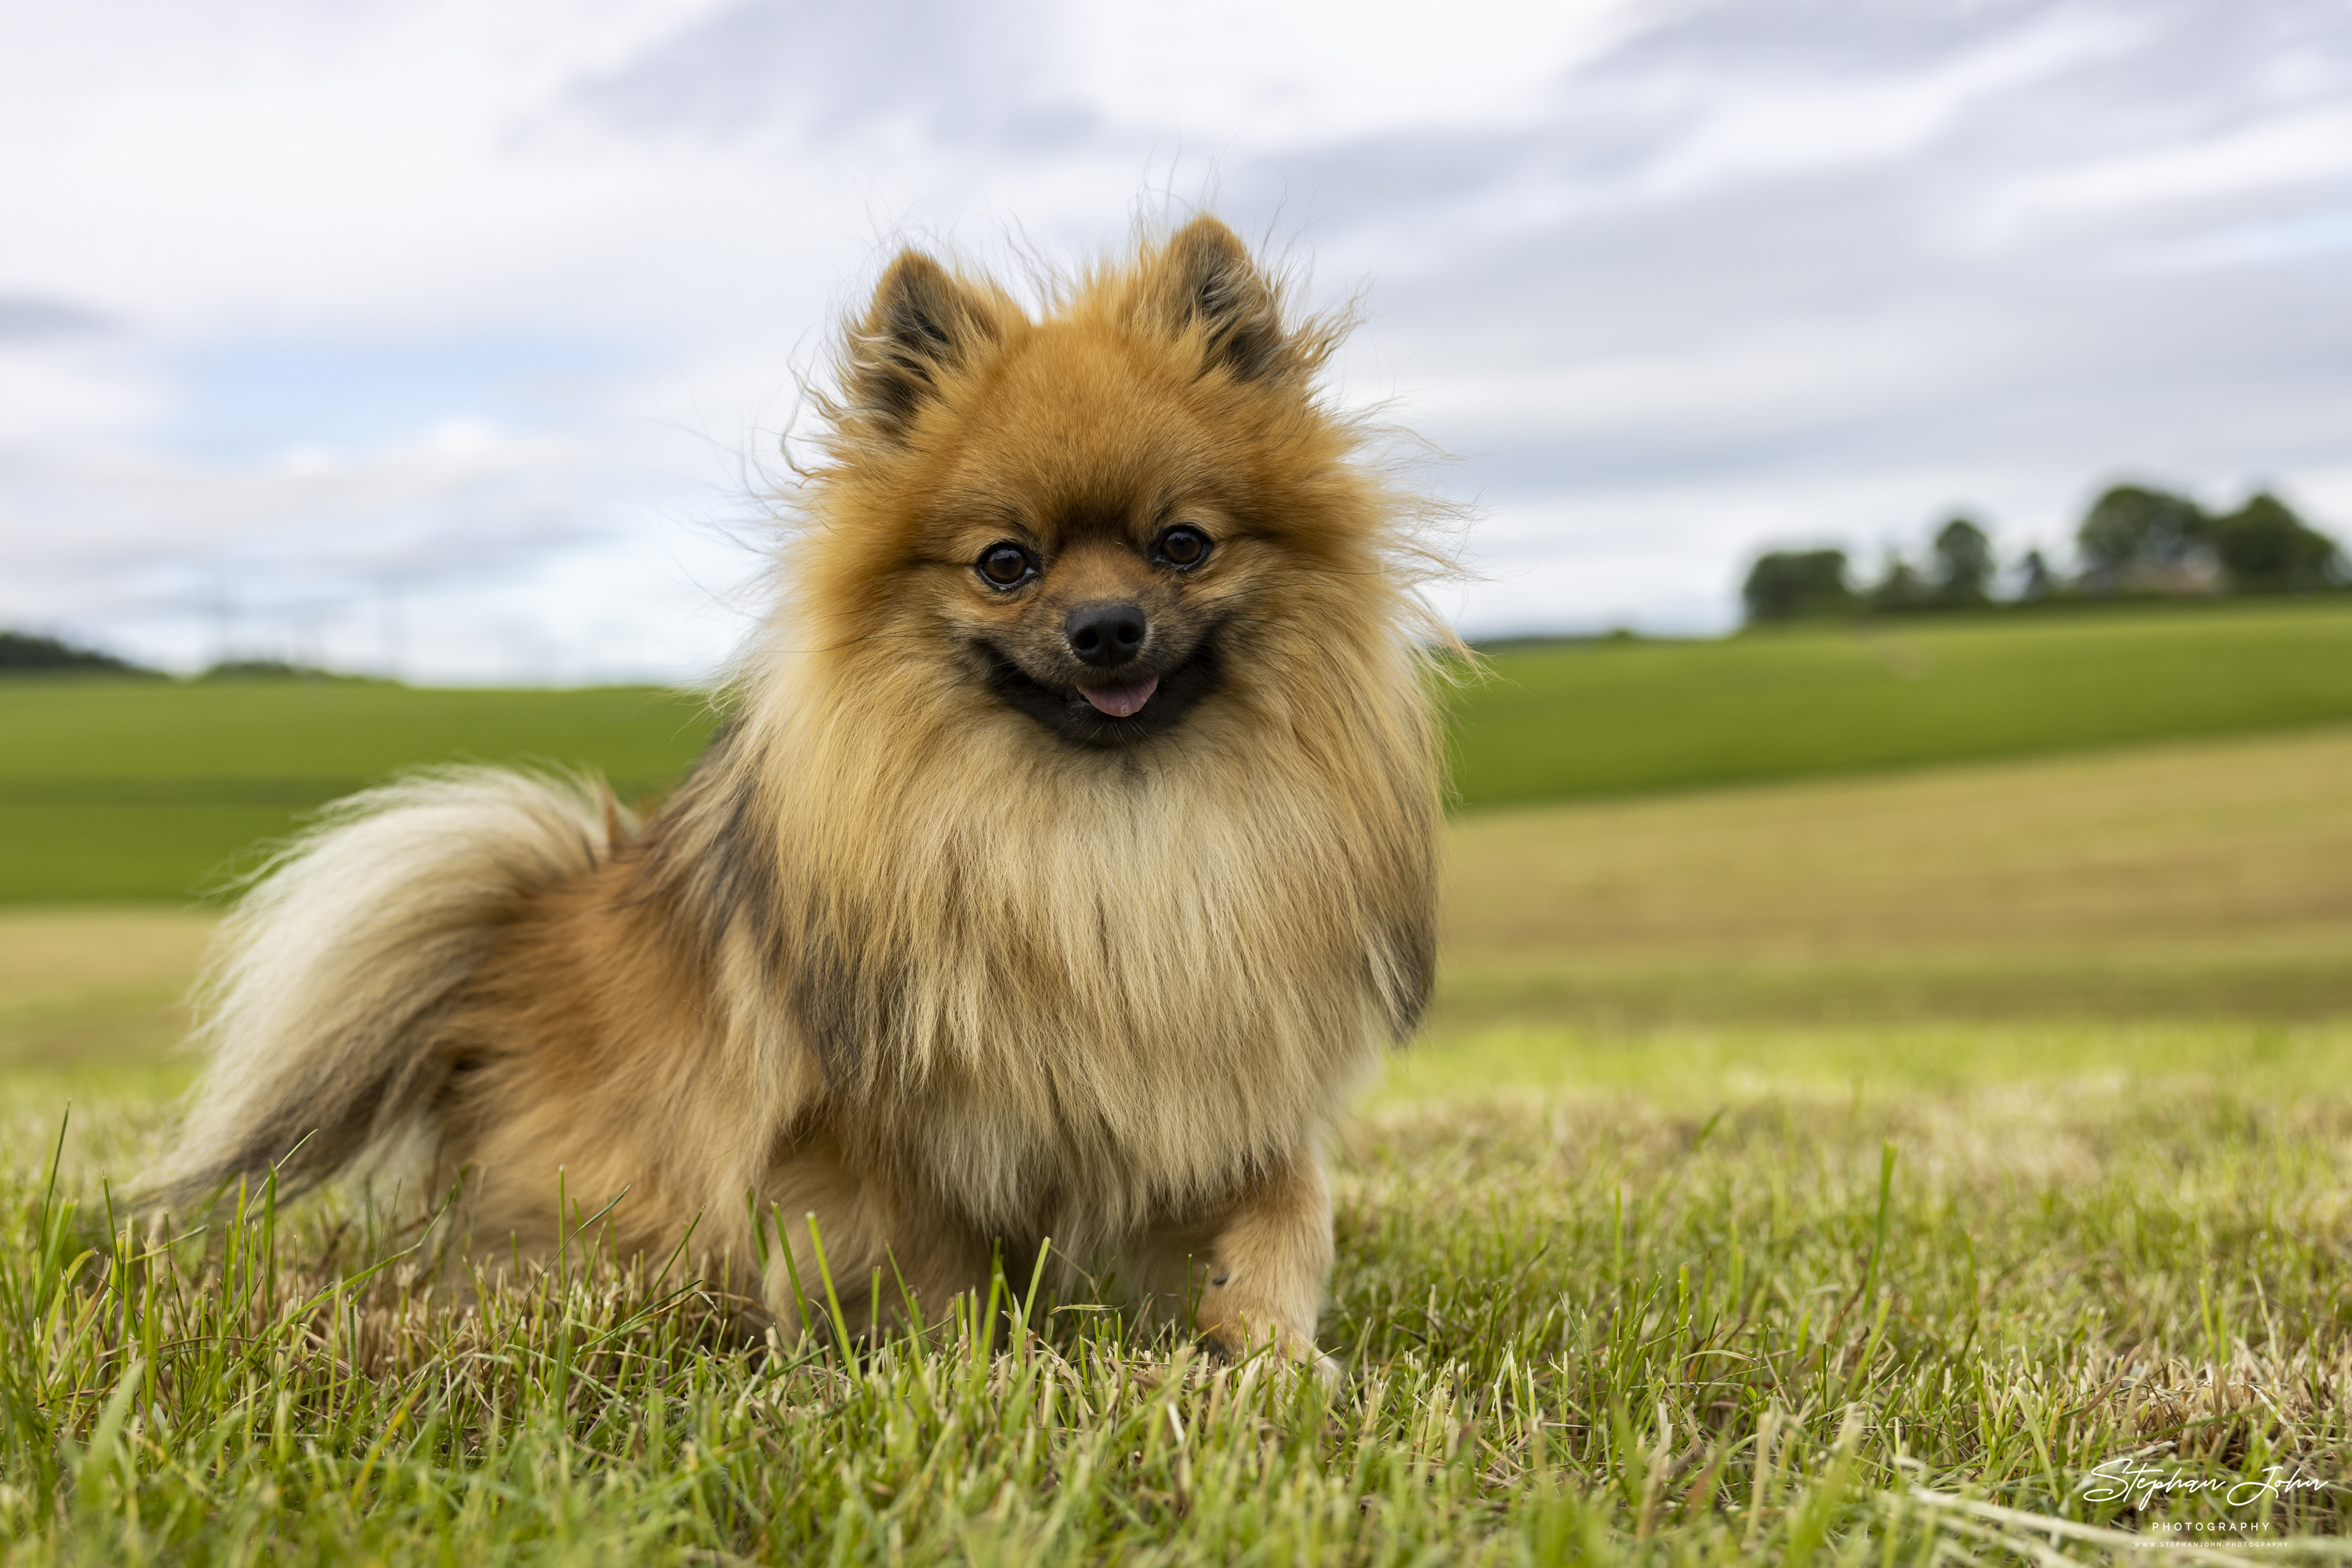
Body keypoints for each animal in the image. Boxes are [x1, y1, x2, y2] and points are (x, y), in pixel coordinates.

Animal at [151, 215, 1449, 1363]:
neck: (1102, 834)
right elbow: (933, 1272)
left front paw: (1270, 1352)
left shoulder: (1223, 1075)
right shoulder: (870, 1141)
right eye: (1006, 564)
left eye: (1183, 545)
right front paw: (969, 1370)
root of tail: (522, 927)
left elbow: (1287, 1221)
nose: (1107, 629)